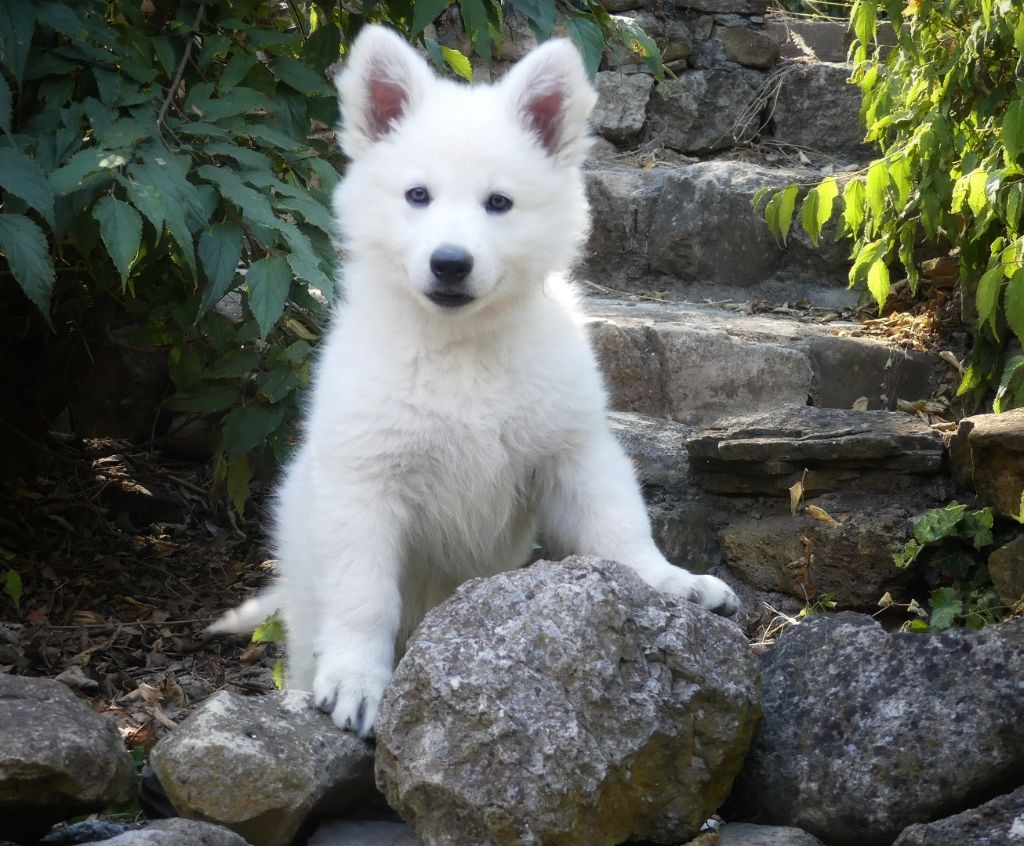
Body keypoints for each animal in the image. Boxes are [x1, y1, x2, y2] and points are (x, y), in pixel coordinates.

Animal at [210, 24, 738, 737]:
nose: (450, 264)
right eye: (417, 196)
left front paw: (670, 583)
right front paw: (356, 680)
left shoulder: (572, 450)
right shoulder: (365, 483)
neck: (459, 346)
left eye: (499, 203)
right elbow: (364, 595)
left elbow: (618, 526)